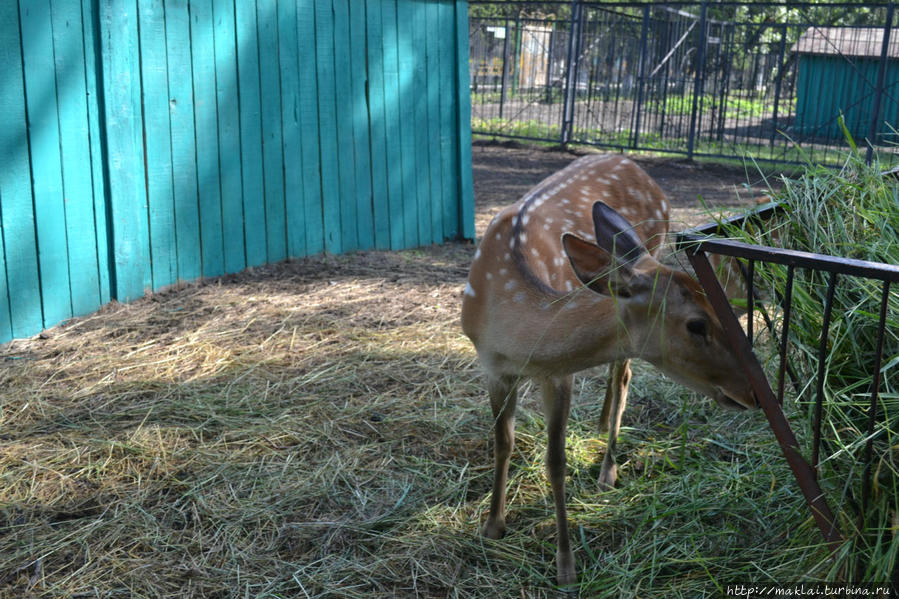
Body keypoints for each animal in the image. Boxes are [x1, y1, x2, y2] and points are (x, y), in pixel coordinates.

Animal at [460, 154, 756, 584]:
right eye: (697, 324)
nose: (752, 390)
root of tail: (637, 166)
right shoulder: (491, 365)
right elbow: (503, 442)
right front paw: (492, 525)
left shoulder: (558, 373)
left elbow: (556, 461)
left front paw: (565, 565)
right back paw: (600, 424)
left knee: (624, 377)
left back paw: (608, 470)